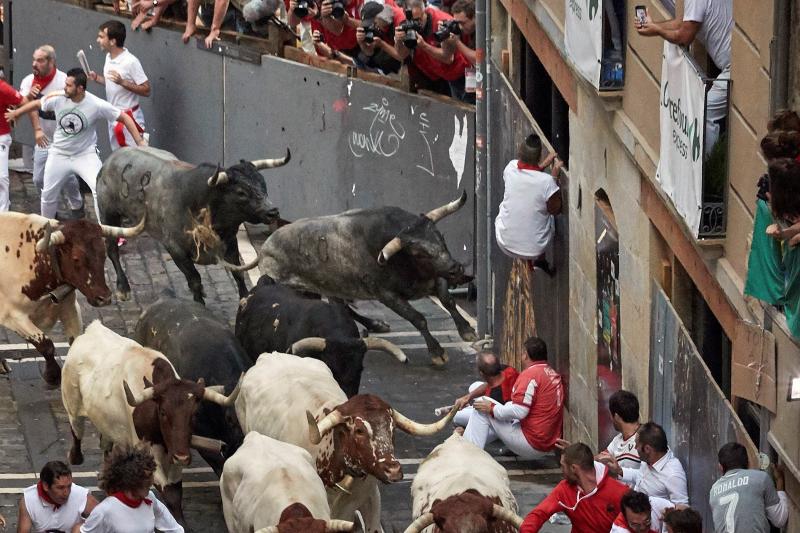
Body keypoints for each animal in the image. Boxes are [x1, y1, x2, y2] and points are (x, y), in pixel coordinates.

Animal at [61, 320, 239, 524]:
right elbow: (169, 492)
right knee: (76, 430)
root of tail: (92, 329)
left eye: (194, 413)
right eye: (163, 412)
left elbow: (176, 489)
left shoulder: (175, 450)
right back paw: (75, 456)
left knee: (106, 443)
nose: (183, 457)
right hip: (72, 403)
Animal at [96, 145, 290, 304]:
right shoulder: (175, 250)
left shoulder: (231, 244)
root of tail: (110, 160)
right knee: (112, 249)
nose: (273, 211)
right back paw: (123, 288)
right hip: (108, 215)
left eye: (263, 184)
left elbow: (238, 274)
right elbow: (195, 280)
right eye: (241, 192)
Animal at [255, 191, 476, 366]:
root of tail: (266, 248)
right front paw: (437, 352)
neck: (403, 262)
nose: (456, 268)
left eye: (441, 237)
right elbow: (418, 318)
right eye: (419, 253)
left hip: (331, 288)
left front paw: (467, 331)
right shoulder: (387, 295)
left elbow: (448, 301)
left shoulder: (436, 277)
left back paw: (376, 324)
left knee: (343, 308)